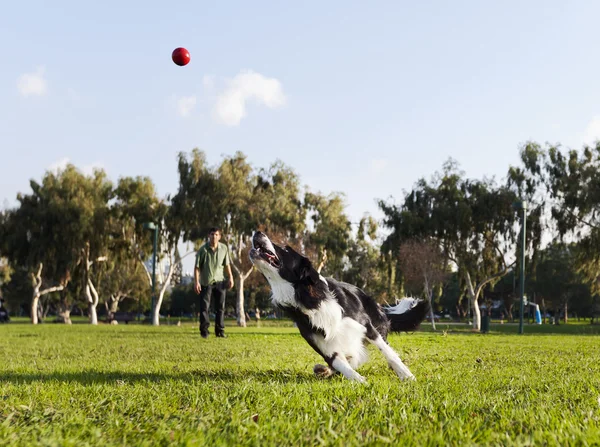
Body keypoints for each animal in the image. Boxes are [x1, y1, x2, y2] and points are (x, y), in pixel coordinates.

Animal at [250, 233, 432, 384]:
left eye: (286, 249)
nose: (257, 232)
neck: (310, 299)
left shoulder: (366, 326)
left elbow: (388, 353)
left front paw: (406, 375)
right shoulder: (323, 345)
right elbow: (341, 365)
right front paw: (361, 382)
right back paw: (323, 370)